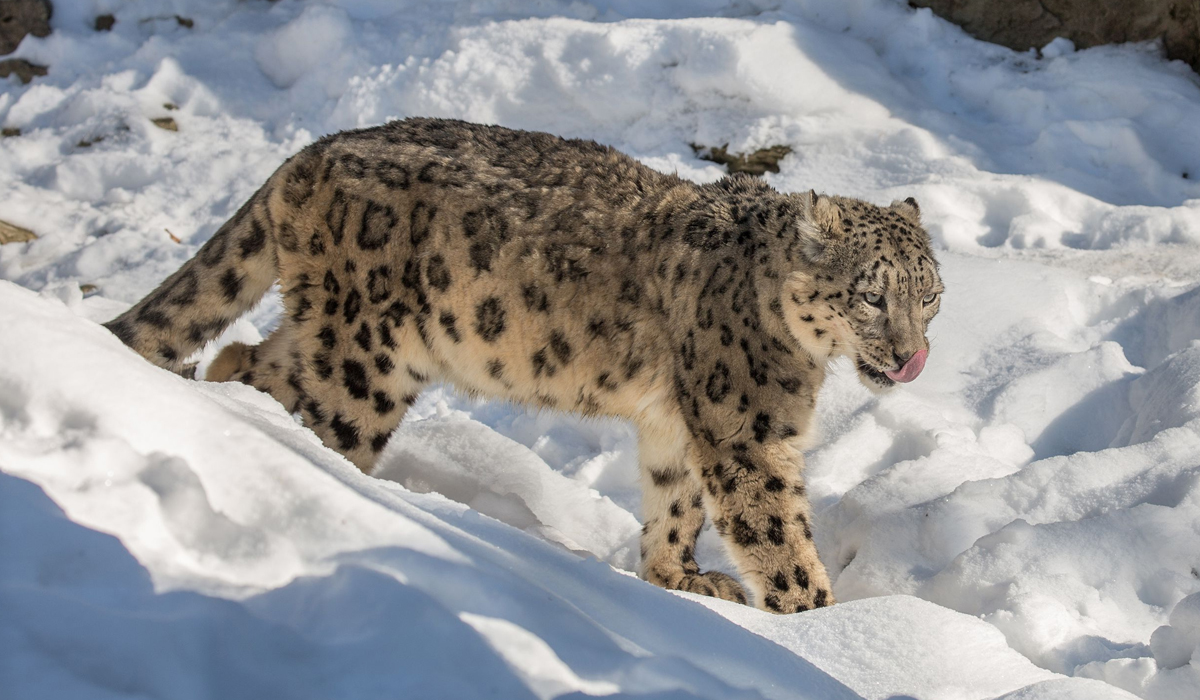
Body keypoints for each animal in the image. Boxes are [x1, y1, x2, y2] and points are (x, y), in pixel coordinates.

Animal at [103, 117, 940, 609]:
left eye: (930, 294)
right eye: (872, 296)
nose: (911, 358)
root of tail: (306, 156)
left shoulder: (678, 422)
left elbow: (676, 502)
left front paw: (679, 579)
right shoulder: (748, 431)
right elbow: (776, 528)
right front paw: (810, 619)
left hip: (328, 333)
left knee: (248, 357)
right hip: (366, 358)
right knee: (314, 416)